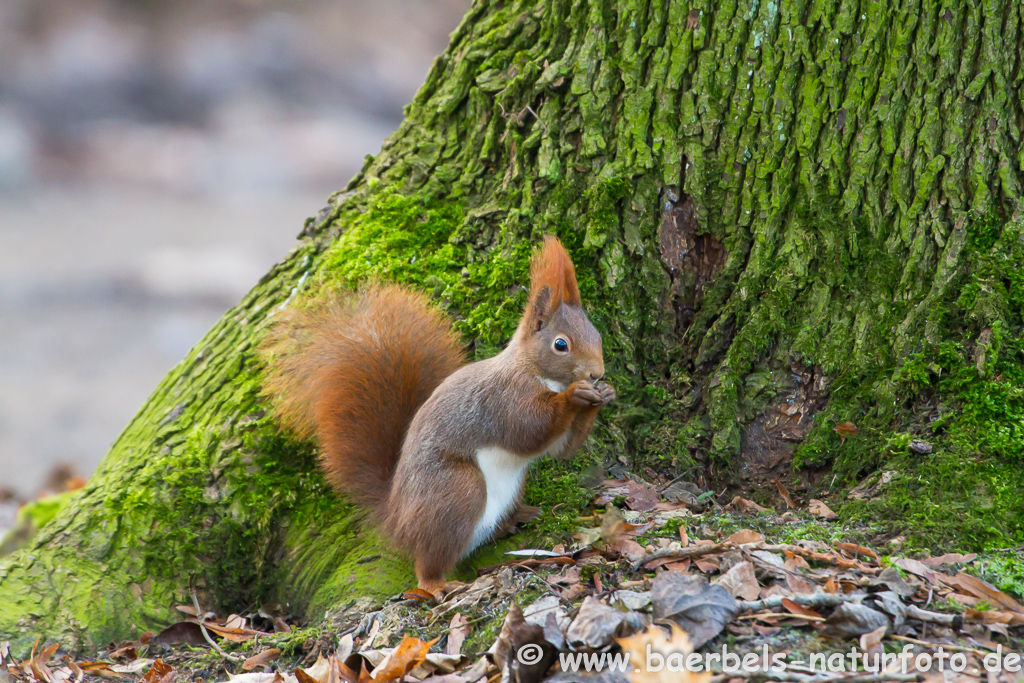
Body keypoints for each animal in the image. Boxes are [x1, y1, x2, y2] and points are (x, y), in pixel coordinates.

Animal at [264, 235, 614, 593]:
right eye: (561, 345)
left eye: (597, 335)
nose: (597, 373)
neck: (533, 370)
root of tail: (396, 519)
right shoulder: (504, 400)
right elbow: (529, 431)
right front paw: (574, 396)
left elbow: (562, 450)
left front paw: (604, 395)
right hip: (456, 491)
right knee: (431, 560)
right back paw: (438, 585)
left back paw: (516, 517)